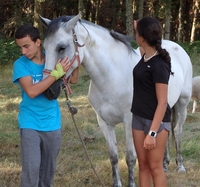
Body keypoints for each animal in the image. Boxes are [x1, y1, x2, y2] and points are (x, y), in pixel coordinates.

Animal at [38, 13, 192, 187]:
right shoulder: (104, 122)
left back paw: (180, 165)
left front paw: (131, 184)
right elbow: (113, 157)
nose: (48, 91)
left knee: (177, 131)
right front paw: (116, 183)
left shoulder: (130, 121)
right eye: (45, 47)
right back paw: (164, 165)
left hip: (182, 104)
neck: (112, 76)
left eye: (61, 47)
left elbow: (131, 157)